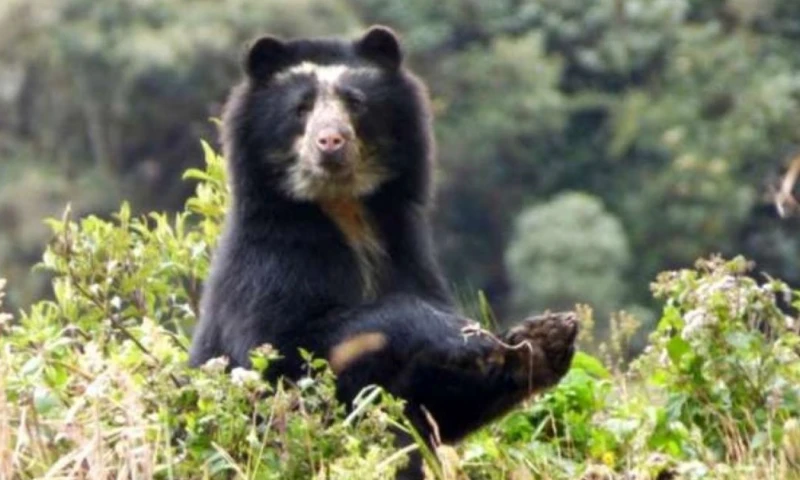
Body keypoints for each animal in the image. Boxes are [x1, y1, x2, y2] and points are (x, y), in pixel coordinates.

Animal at [189, 25, 578, 478]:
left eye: (355, 102)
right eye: (300, 108)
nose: (330, 142)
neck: (343, 208)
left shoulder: (406, 250)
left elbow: (437, 406)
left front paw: (543, 337)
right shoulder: (270, 264)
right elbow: (280, 357)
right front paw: (458, 333)